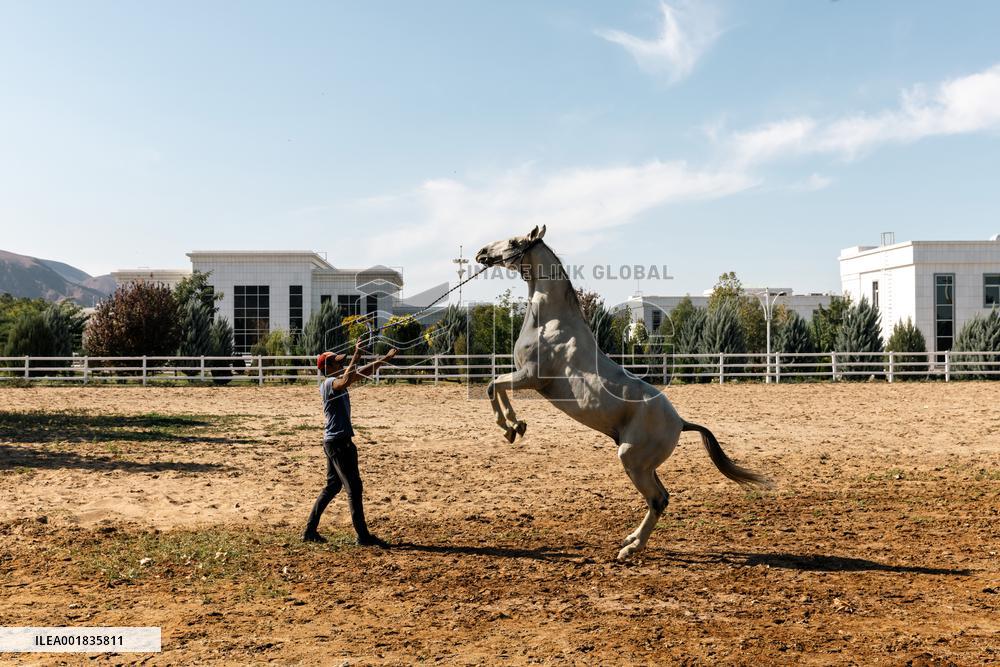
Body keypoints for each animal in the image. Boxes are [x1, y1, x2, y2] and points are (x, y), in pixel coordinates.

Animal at [475, 225, 770, 561]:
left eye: (514, 241)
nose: (481, 252)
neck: (550, 324)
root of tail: (681, 422)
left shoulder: (532, 378)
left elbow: (493, 386)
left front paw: (510, 427)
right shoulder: (525, 378)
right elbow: (496, 385)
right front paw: (516, 427)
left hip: (633, 461)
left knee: (658, 500)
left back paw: (629, 550)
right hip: (646, 466)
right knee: (663, 497)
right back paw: (631, 539)